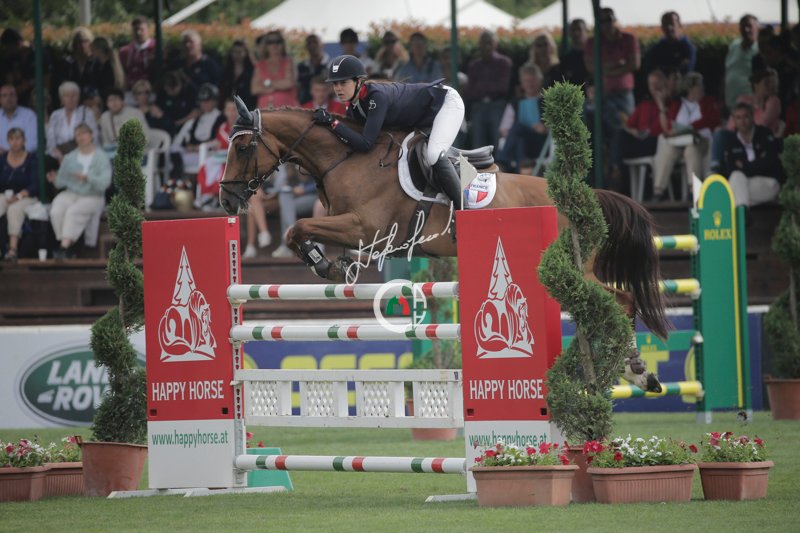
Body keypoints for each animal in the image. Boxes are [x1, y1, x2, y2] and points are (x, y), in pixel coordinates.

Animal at [218, 98, 669, 350]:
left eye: (242, 147)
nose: (225, 199)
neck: (346, 158)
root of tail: (584, 197)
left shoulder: (366, 227)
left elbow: (297, 228)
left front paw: (322, 263)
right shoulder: (349, 226)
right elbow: (308, 233)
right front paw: (332, 262)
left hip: (572, 269)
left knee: (620, 300)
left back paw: (633, 367)